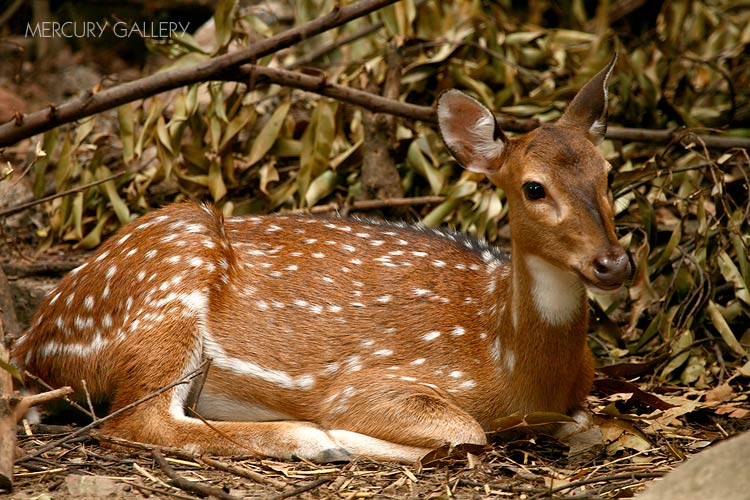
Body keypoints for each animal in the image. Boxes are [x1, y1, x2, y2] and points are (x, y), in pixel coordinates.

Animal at [14, 54, 632, 460]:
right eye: (533, 188)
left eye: (609, 174)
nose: (613, 263)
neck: (513, 367)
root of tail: (30, 343)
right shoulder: (368, 383)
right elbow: (467, 431)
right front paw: (354, 436)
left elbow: (593, 427)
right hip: (168, 291)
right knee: (136, 421)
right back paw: (314, 439)